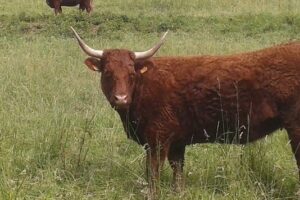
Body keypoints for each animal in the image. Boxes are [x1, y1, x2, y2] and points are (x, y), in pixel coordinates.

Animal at [71, 27, 300, 198]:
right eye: (108, 73)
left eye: (131, 73)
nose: (121, 99)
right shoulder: (176, 142)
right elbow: (178, 174)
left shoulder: (157, 140)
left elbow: (153, 173)